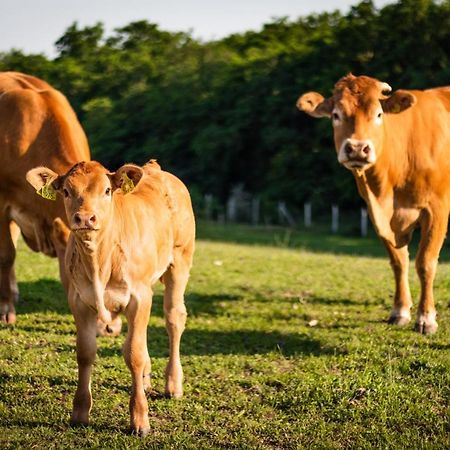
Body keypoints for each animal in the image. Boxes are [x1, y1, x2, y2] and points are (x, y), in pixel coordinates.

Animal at [25, 159, 195, 436]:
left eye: (106, 190)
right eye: (66, 191)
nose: (85, 217)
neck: (99, 262)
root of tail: (154, 168)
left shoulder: (139, 297)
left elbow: (134, 353)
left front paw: (140, 420)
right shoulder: (79, 301)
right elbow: (85, 353)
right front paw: (80, 413)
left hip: (180, 262)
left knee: (174, 319)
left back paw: (173, 384)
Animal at [298, 74, 450, 334]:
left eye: (379, 114)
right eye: (336, 115)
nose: (358, 148)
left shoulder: (437, 208)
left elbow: (426, 262)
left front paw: (426, 318)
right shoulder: (377, 214)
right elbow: (399, 262)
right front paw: (400, 311)